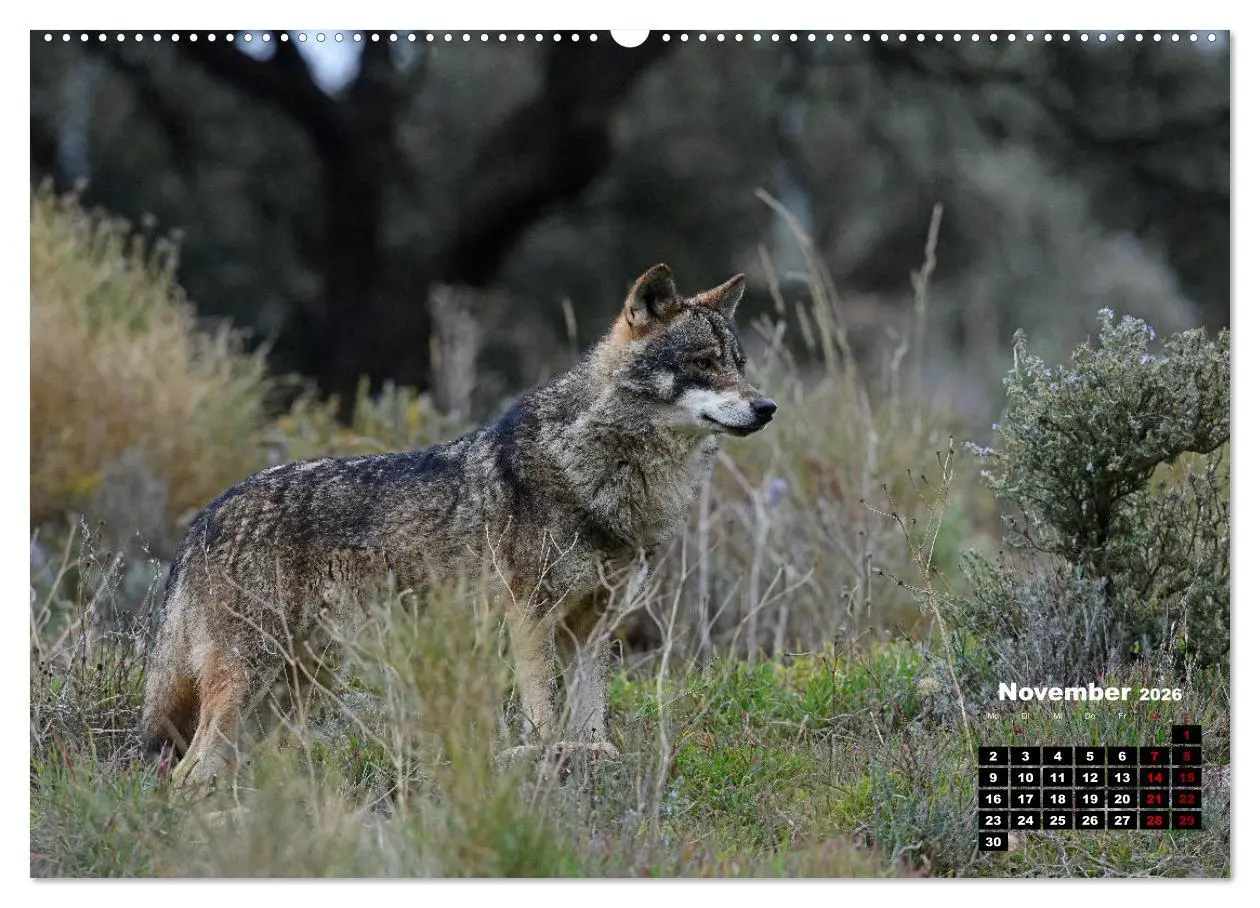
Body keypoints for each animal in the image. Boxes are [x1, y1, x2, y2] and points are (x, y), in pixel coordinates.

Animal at [138, 264, 777, 788]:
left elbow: (592, 720)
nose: (767, 407)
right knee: (189, 772)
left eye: (740, 365)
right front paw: (548, 762)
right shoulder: (530, 618)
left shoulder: (594, 629)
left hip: (298, 686)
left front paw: (594, 759)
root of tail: (205, 516)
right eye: (703, 363)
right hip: (255, 679)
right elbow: (544, 718)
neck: (599, 471)